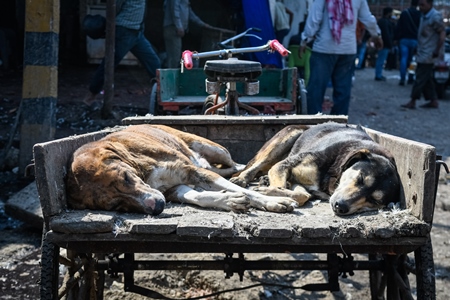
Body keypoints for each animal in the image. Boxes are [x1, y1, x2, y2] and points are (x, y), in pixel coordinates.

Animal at [65, 124, 298, 216]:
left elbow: (246, 191)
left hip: (214, 150)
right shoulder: (174, 188)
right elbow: (198, 196)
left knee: (236, 166)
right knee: (225, 171)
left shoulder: (192, 172)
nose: (158, 207)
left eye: (126, 178)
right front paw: (228, 200)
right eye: (117, 206)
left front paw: (275, 201)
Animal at [230, 122, 400, 216]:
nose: (340, 207)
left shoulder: (298, 183)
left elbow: (302, 195)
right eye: (360, 179)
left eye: (374, 200)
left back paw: (264, 180)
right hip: (288, 136)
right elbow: (283, 186)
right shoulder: (283, 166)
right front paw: (270, 194)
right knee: (255, 166)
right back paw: (242, 178)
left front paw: (270, 191)